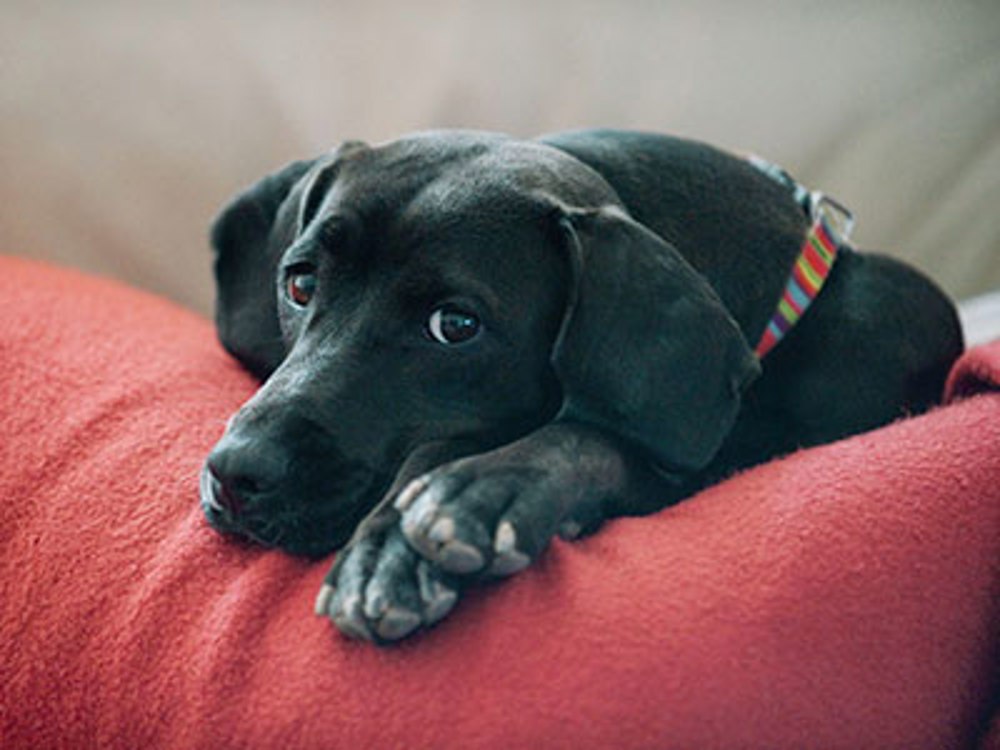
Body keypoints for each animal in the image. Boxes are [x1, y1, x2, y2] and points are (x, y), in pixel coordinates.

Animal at [201, 128, 960, 640]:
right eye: (300, 284)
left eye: (456, 325)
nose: (236, 472)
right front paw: (389, 544)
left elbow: (588, 435)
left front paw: (479, 494)